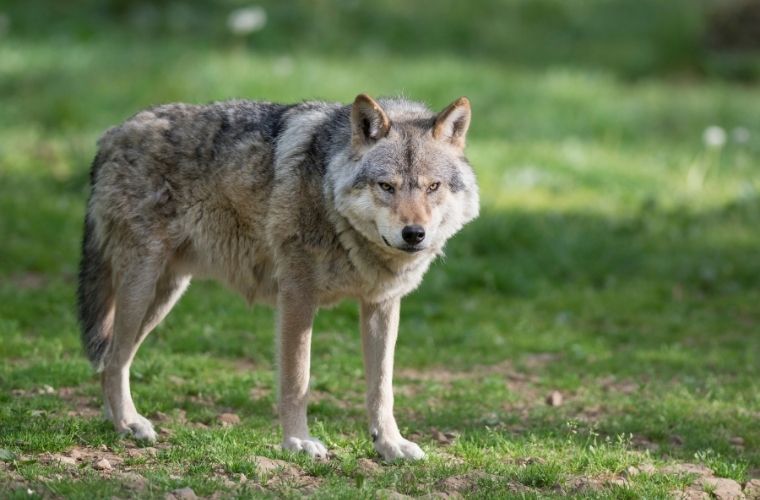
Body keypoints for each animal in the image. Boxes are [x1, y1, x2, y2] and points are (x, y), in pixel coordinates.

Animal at [78, 94, 480, 460]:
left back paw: (117, 422)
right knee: (113, 359)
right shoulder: (297, 296)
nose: (414, 234)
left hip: (164, 295)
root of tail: (112, 134)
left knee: (112, 359)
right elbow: (296, 380)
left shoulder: (381, 304)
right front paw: (298, 442)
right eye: (387, 186)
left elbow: (382, 387)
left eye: (433, 187)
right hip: (142, 288)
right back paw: (128, 423)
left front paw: (390, 445)